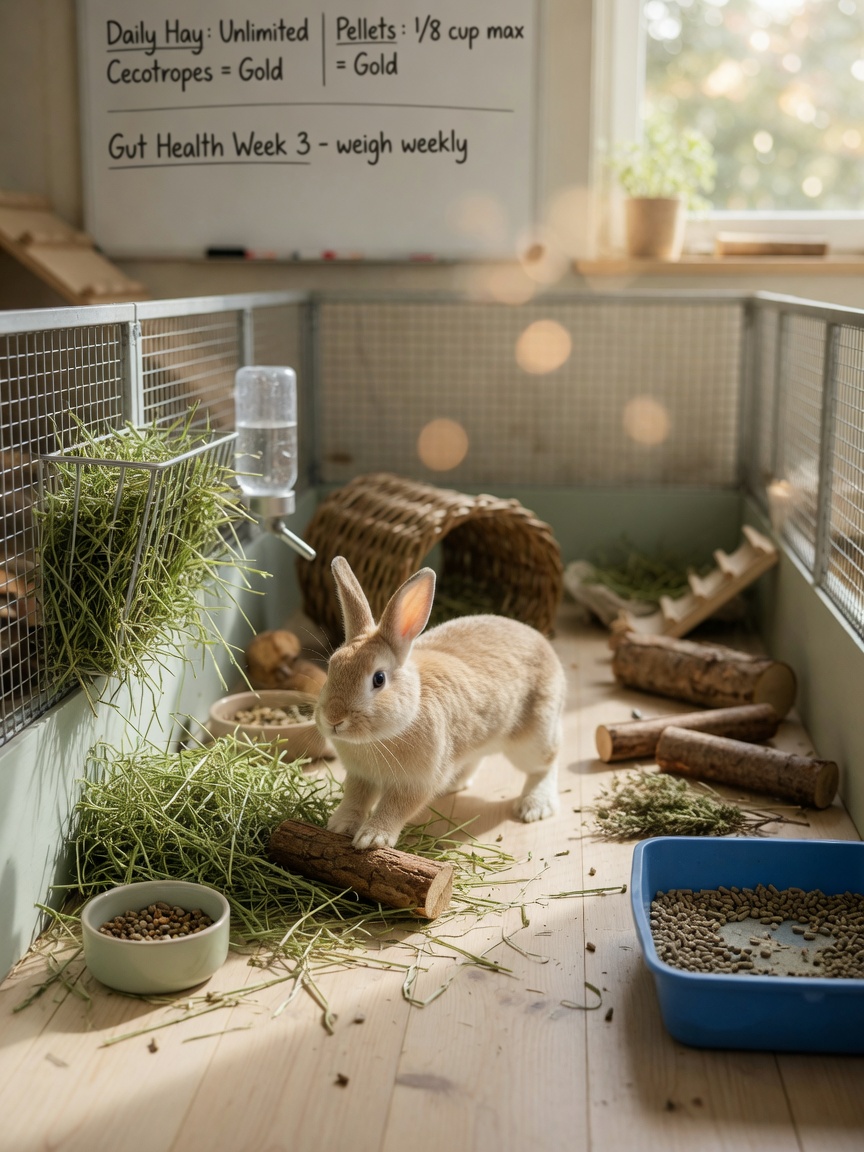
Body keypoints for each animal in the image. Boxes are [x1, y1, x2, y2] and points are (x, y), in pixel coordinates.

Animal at [315, 555, 566, 850]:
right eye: (331, 667)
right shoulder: (360, 776)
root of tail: (542, 641)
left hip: (533, 738)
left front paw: (372, 838)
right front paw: (339, 825)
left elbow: (395, 807)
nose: (333, 719)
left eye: (378, 679)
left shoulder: (416, 783)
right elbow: (355, 798)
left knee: (546, 764)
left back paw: (535, 806)